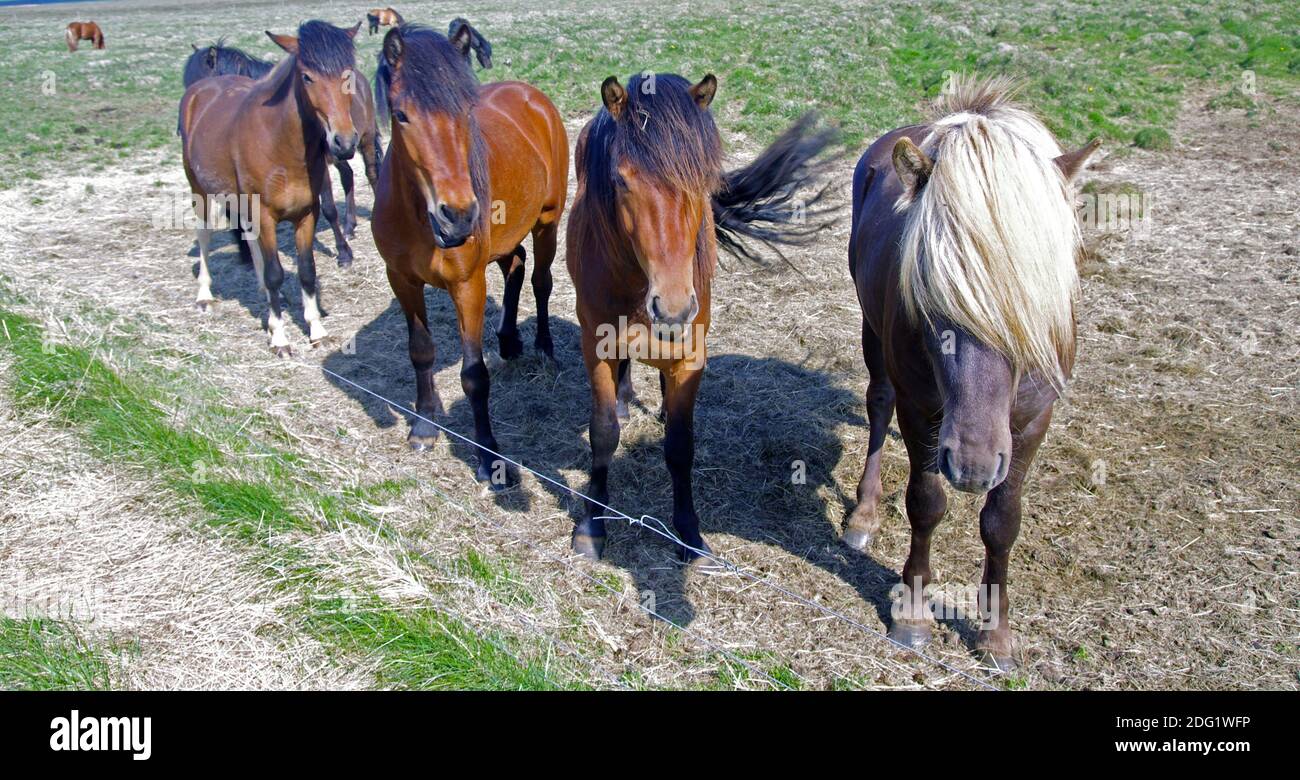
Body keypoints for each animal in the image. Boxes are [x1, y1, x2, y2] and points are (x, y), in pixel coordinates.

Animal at [178, 19, 366, 353]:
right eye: (307, 77)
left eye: (349, 74)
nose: (343, 142)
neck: (281, 143)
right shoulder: (264, 214)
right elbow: (276, 272)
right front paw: (280, 336)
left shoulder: (306, 214)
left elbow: (307, 271)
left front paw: (315, 328)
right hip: (199, 190)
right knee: (204, 236)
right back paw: (205, 295)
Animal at [369, 24, 566, 483]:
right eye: (401, 115)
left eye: (466, 112)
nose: (458, 215)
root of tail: (532, 96)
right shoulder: (401, 280)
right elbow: (420, 352)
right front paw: (424, 425)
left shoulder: (467, 285)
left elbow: (474, 374)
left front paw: (488, 454)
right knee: (516, 265)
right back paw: (509, 341)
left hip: (547, 221)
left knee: (540, 281)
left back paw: (543, 347)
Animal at [566, 73, 832, 564]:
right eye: (621, 180)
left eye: (704, 180)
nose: (672, 306)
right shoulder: (596, 348)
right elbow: (603, 433)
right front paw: (592, 527)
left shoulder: (691, 357)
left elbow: (680, 445)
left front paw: (689, 534)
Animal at [842, 76, 1097, 665]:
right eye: (929, 293)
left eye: (1037, 298)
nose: (974, 466)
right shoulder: (922, 410)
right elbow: (926, 503)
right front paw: (913, 614)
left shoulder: (1032, 421)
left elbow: (1002, 522)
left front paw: (996, 634)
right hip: (872, 335)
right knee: (878, 404)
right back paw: (863, 515)